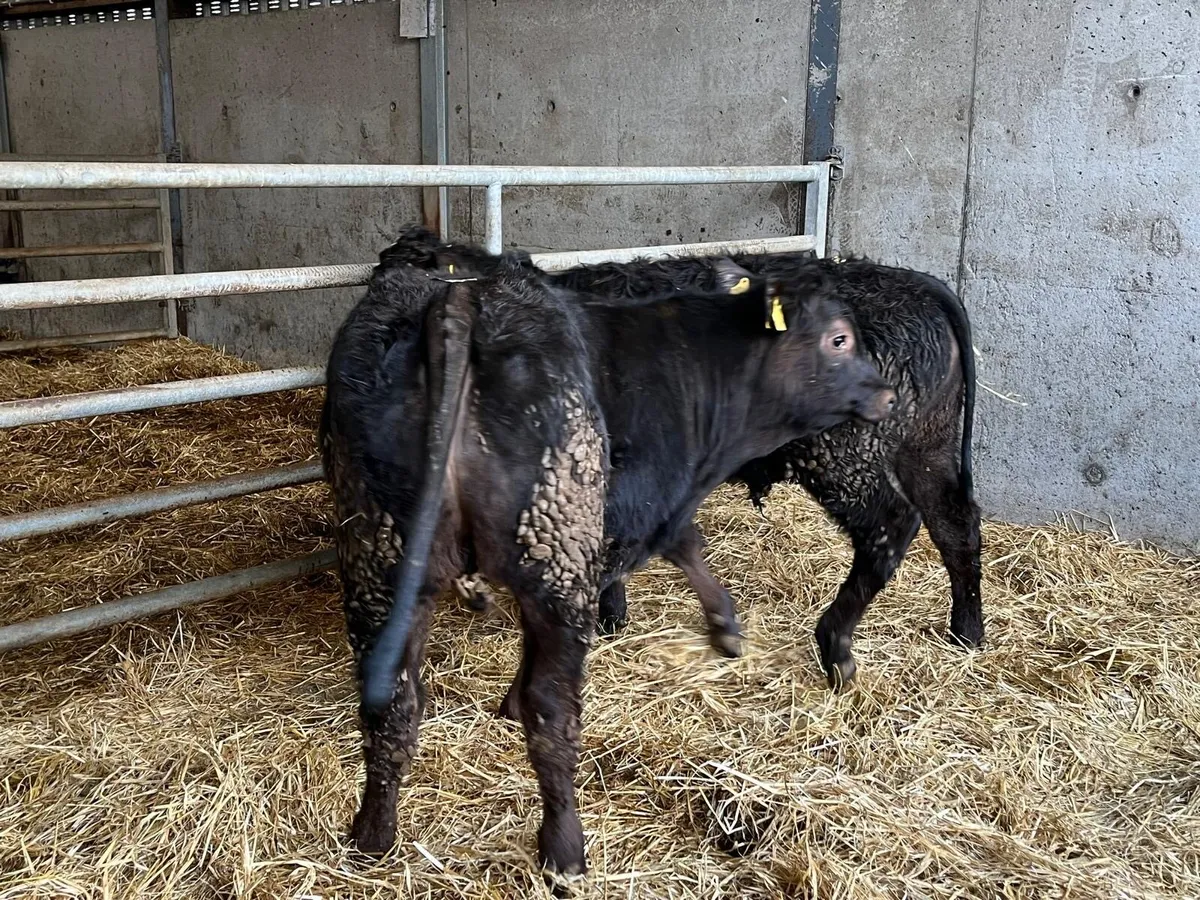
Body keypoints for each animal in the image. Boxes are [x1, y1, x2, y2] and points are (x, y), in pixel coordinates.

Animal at [320, 239, 896, 877]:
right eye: (839, 339)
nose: (887, 392)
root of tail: (458, 299)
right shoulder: (641, 502)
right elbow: (680, 543)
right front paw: (724, 625)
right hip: (554, 544)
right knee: (553, 710)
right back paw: (564, 847)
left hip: (380, 551)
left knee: (393, 702)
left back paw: (373, 835)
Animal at [438, 243, 981, 691]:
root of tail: (914, 285)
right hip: (926, 445)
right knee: (955, 523)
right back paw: (967, 630)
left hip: (845, 455)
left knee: (889, 526)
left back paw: (836, 645)